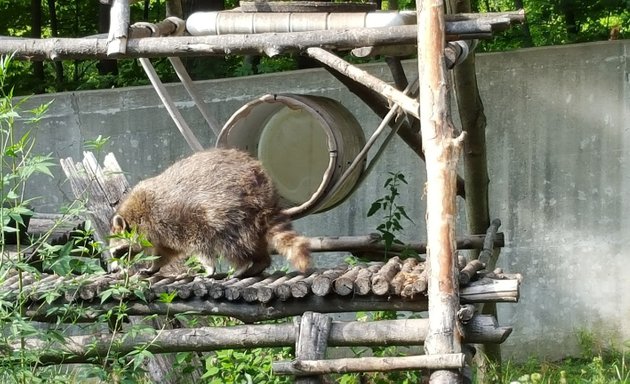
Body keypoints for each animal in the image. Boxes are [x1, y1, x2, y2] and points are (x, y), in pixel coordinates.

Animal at [111, 148, 314, 278]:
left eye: (116, 251)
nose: (113, 269)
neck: (137, 216)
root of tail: (264, 189)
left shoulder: (175, 218)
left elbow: (199, 244)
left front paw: (208, 266)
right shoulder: (162, 234)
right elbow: (166, 252)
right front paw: (154, 266)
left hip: (230, 209)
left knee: (229, 242)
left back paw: (244, 264)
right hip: (249, 217)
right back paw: (260, 261)